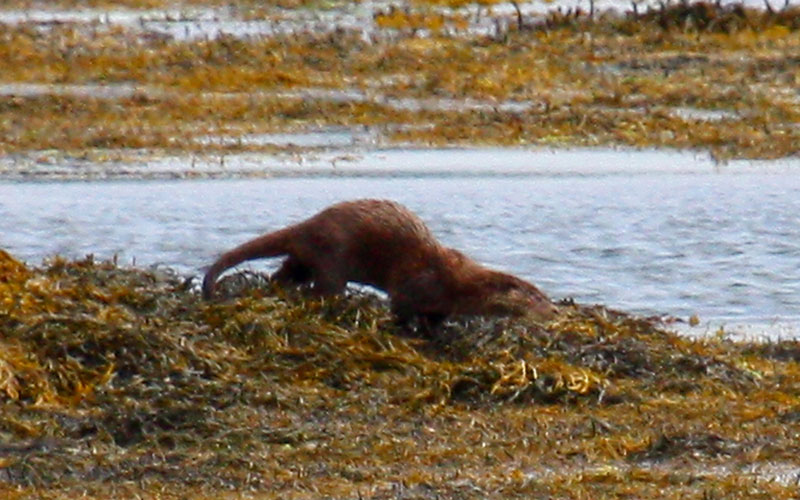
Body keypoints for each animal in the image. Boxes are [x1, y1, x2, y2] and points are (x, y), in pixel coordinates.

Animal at [202, 199, 557, 325]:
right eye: (536, 296)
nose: (555, 310)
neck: (457, 284)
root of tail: (309, 224)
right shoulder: (420, 284)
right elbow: (401, 304)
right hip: (334, 255)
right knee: (323, 285)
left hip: (304, 257)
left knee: (285, 272)